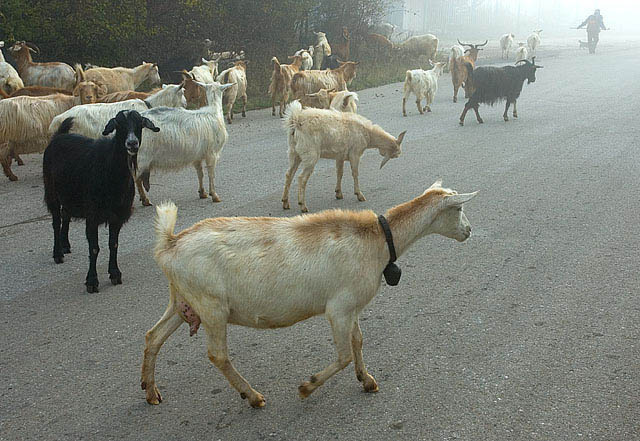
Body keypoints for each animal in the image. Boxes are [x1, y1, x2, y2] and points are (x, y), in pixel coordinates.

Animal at [43, 111, 159, 292]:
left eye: (140, 123)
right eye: (118, 124)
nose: (132, 143)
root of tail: (59, 136)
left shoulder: (117, 216)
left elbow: (114, 244)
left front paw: (115, 274)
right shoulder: (92, 215)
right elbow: (94, 248)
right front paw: (92, 281)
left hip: (69, 195)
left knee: (65, 215)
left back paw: (65, 245)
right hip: (52, 191)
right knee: (56, 221)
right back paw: (58, 254)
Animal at [142, 179, 477, 408]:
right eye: (459, 208)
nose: (469, 231)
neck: (377, 240)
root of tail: (169, 245)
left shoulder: (351, 306)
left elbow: (358, 341)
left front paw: (367, 380)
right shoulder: (339, 308)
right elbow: (343, 355)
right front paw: (307, 386)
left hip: (183, 300)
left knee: (153, 336)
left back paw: (150, 390)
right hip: (212, 306)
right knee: (217, 355)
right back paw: (253, 396)